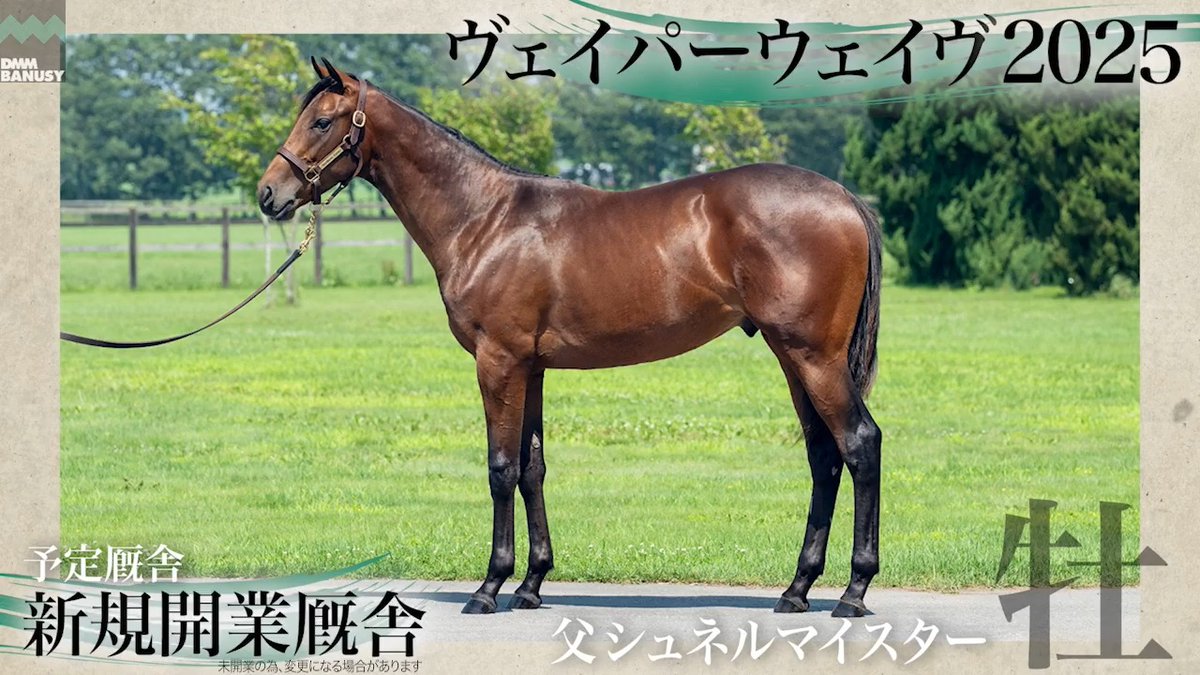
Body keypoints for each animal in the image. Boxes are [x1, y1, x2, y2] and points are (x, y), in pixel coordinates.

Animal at [256, 59, 884, 617]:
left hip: (814, 357)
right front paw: (532, 584)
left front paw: (489, 587)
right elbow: (532, 468)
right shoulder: (530, 368)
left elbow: (501, 469)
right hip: (792, 357)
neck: (484, 218)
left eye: (321, 122)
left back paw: (853, 593)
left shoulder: (498, 362)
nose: (268, 194)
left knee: (859, 443)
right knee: (824, 455)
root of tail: (844, 197)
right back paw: (797, 590)